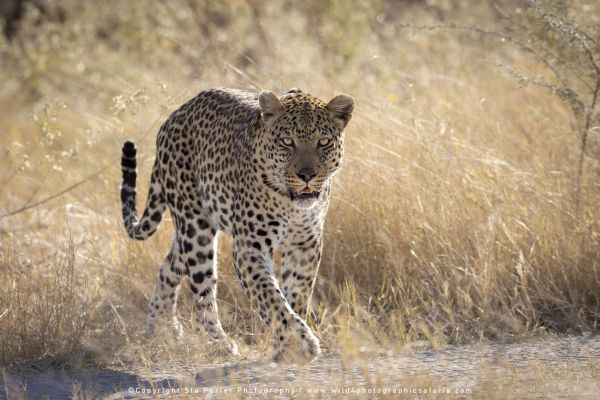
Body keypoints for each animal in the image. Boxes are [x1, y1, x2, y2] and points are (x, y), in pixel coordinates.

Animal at [120, 87, 354, 362]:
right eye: (287, 142)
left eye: (323, 142)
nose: (306, 175)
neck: (291, 204)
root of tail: (172, 118)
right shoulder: (249, 248)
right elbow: (269, 297)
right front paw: (298, 342)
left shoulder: (305, 244)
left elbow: (296, 294)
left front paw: (288, 342)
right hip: (195, 228)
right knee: (202, 291)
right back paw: (217, 341)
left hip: (190, 231)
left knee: (169, 268)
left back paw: (161, 328)